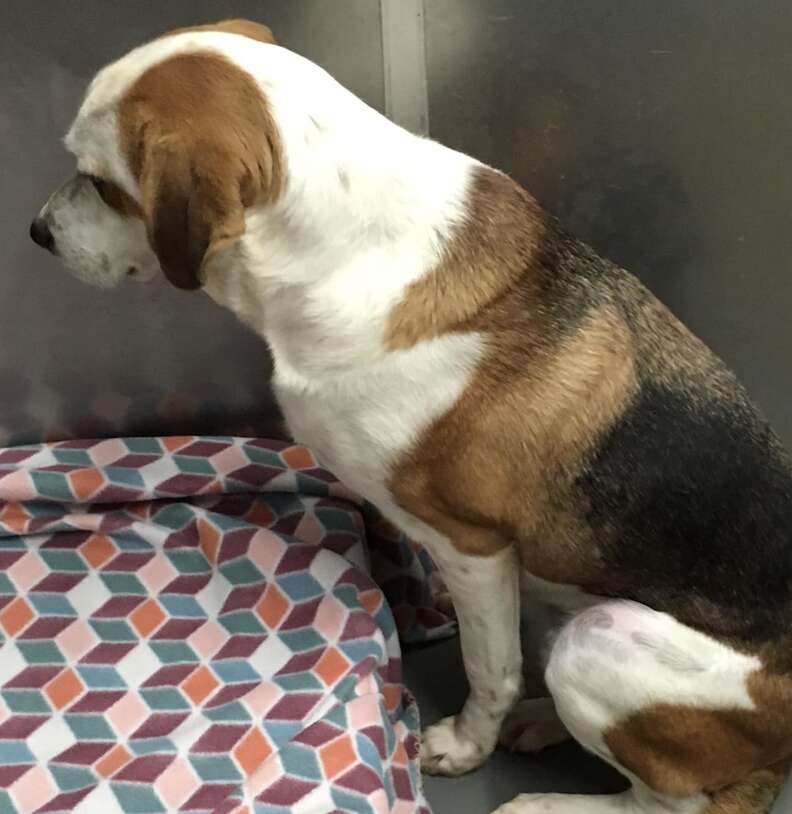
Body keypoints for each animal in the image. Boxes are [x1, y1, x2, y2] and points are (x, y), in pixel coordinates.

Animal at [27, 19, 792, 814]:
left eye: (105, 187)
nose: (37, 232)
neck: (340, 243)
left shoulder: (472, 544)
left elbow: (491, 668)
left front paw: (464, 744)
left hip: (598, 639)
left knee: (671, 800)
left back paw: (548, 798)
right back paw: (543, 721)